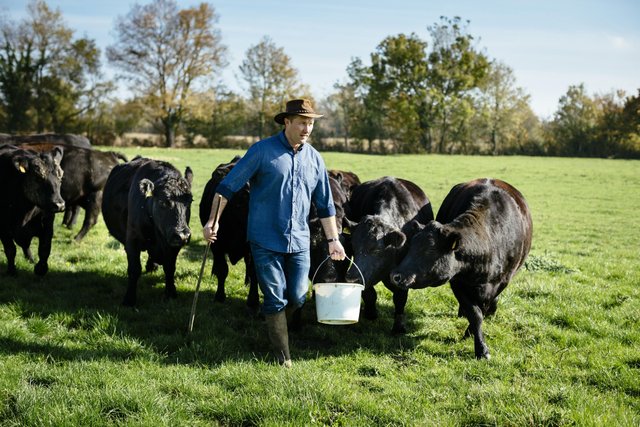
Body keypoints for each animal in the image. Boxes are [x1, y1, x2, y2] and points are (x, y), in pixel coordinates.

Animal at [0, 145, 65, 276]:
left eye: (60, 178)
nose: (59, 205)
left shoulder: (47, 223)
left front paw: (40, 269)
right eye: (38, 177)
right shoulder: (3, 228)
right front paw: (11, 271)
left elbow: (45, 248)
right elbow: (10, 250)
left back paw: (30, 259)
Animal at [100, 157, 192, 308]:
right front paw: (129, 299)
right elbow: (134, 269)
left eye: (189, 202)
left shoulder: (172, 244)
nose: (182, 235)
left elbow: (170, 268)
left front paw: (171, 293)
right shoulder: (132, 241)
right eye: (162, 202)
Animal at [342, 176, 432, 334]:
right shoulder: (364, 274)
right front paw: (370, 313)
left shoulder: (404, 274)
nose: (351, 278)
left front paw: (398, 327)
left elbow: (400, 298)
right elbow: (369, 293)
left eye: (377, 250)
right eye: (353, 247)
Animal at [392, 179, 532, 360]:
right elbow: (475, 314)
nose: (396, 275)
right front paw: (480, 346)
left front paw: (474, 336)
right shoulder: (457, 281)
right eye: (410, 246)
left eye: (429, 251)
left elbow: (483, 309)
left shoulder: (501, 282)